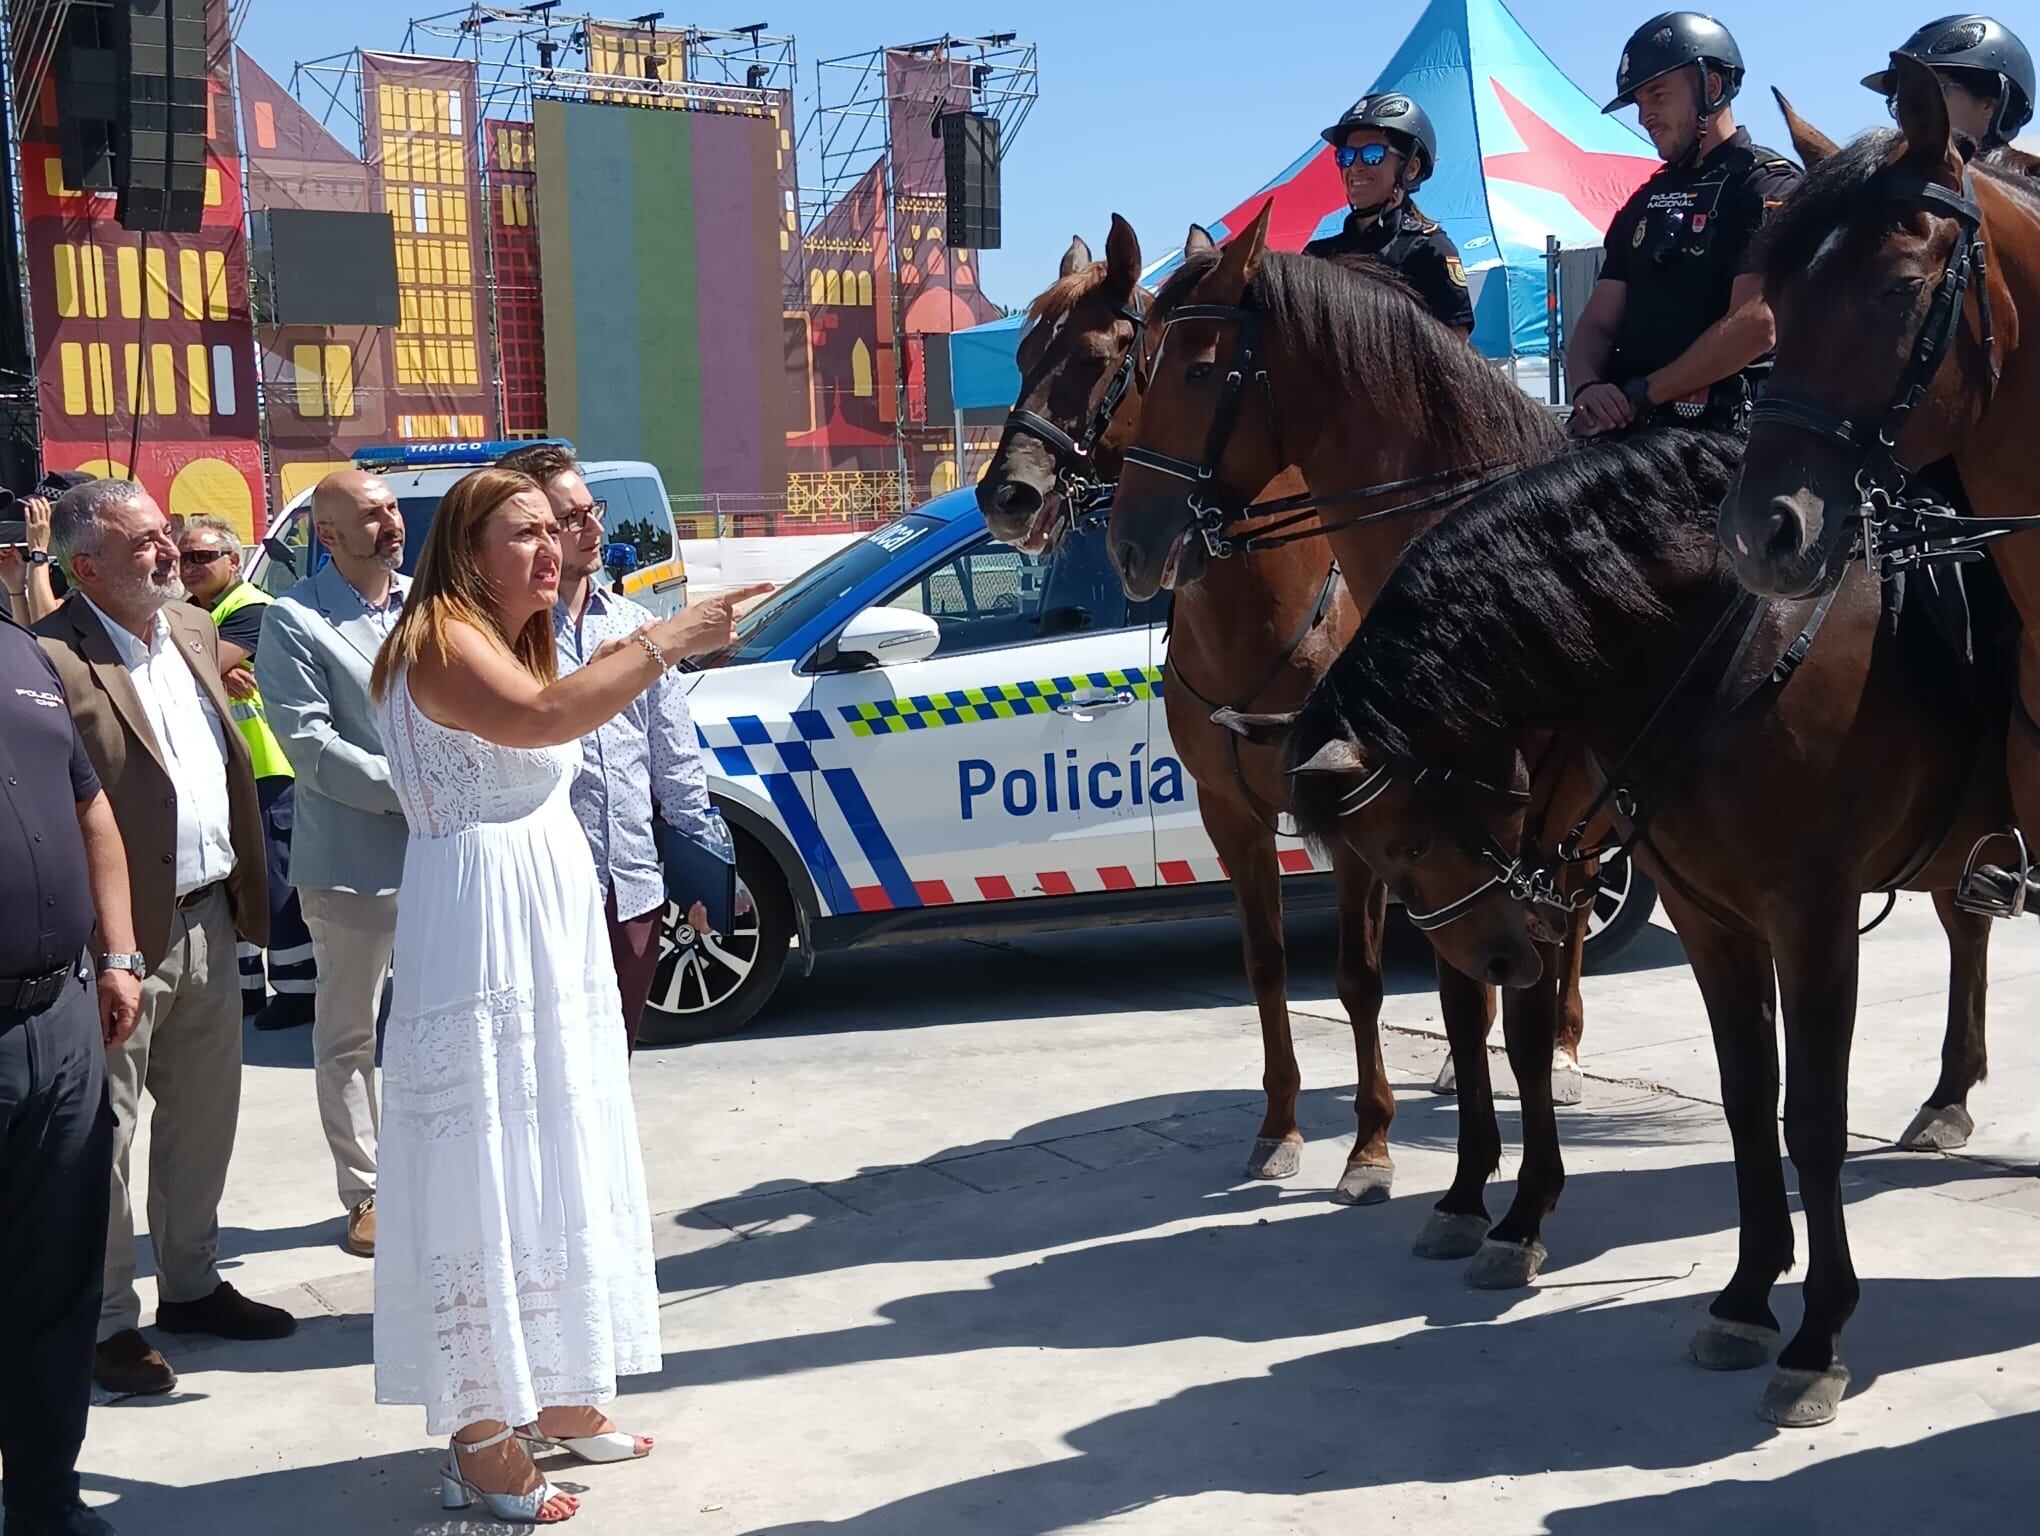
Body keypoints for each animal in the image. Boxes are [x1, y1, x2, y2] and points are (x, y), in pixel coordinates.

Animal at [1281, 422, 1999, 1427]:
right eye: (1381, 857)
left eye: (1412, 839)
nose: (1499, 956)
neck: (1734, 652)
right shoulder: (1705, 916)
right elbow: (1744, 1099)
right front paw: (1744, 1301)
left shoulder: (1809, 913)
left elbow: (1813, 1117)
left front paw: (1817, 1338)